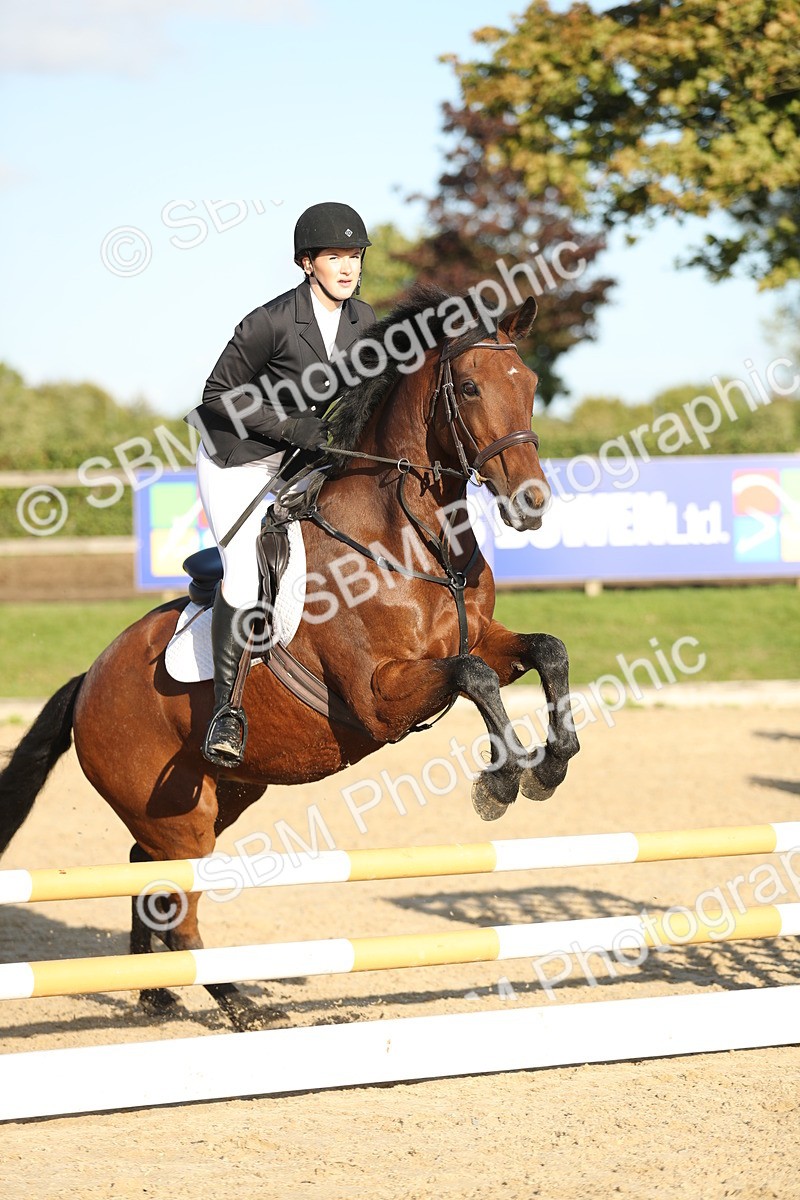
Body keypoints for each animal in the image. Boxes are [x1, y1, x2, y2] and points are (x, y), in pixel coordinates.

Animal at [0, 284, 580, 1029]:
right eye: (473, 386)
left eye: (530, 385)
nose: (531, 504)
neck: (411, 536)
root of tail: (88, 679)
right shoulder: (378, 697)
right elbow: (476, 680)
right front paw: (502, 781)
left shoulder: (481, 638)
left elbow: (546, 653)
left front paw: (551, 765)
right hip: (181, 816)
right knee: (181, 901)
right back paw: (237, 1002)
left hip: (224, 793)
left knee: (146, 869)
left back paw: (157, 992)